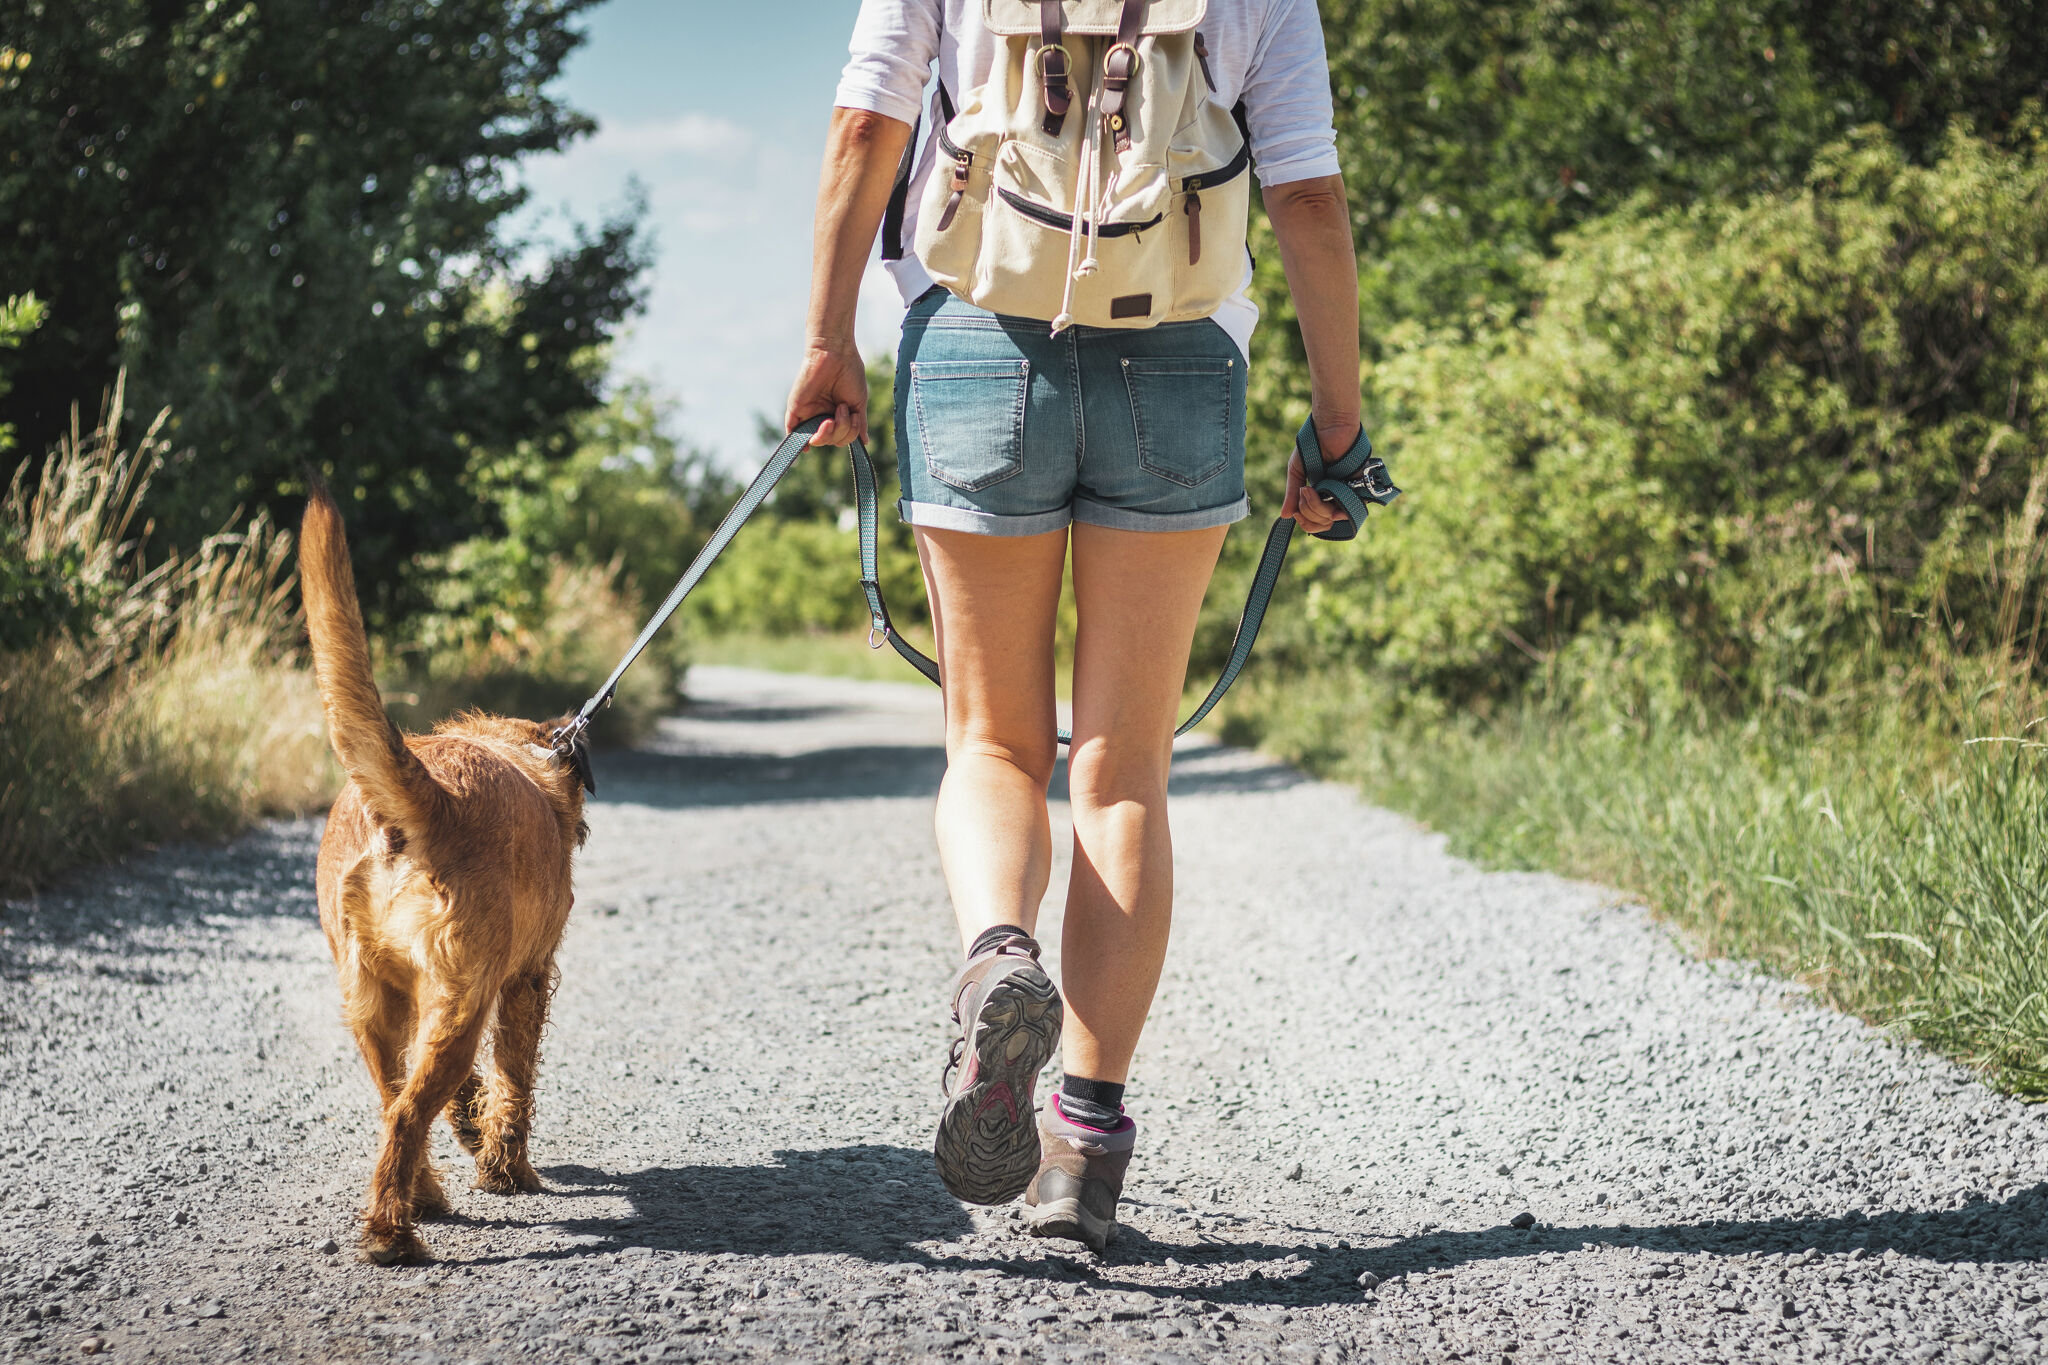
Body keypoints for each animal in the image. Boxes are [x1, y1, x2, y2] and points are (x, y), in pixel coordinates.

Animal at [301, 485, 593, 1268]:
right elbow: (515, 1082)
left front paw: (471, 1132)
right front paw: (506, 1170)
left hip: (375, 1005)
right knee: (407, 1112)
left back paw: (419, 1198)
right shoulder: (525, 982)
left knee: (393, 1099)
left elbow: (468, 1092)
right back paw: (392, 1234)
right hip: (460, 1004)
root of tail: (427, 799)